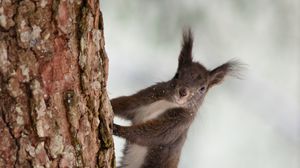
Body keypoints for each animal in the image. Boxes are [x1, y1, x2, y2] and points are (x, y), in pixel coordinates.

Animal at [111, 30, 240, 168]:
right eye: (177, 74)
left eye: (202, 88)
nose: (182, 92)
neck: (170, 103)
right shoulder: (147, 97)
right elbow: (127, 104)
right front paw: (110, 103)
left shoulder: (179, 123)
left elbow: (152, 134)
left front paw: (117, 129)